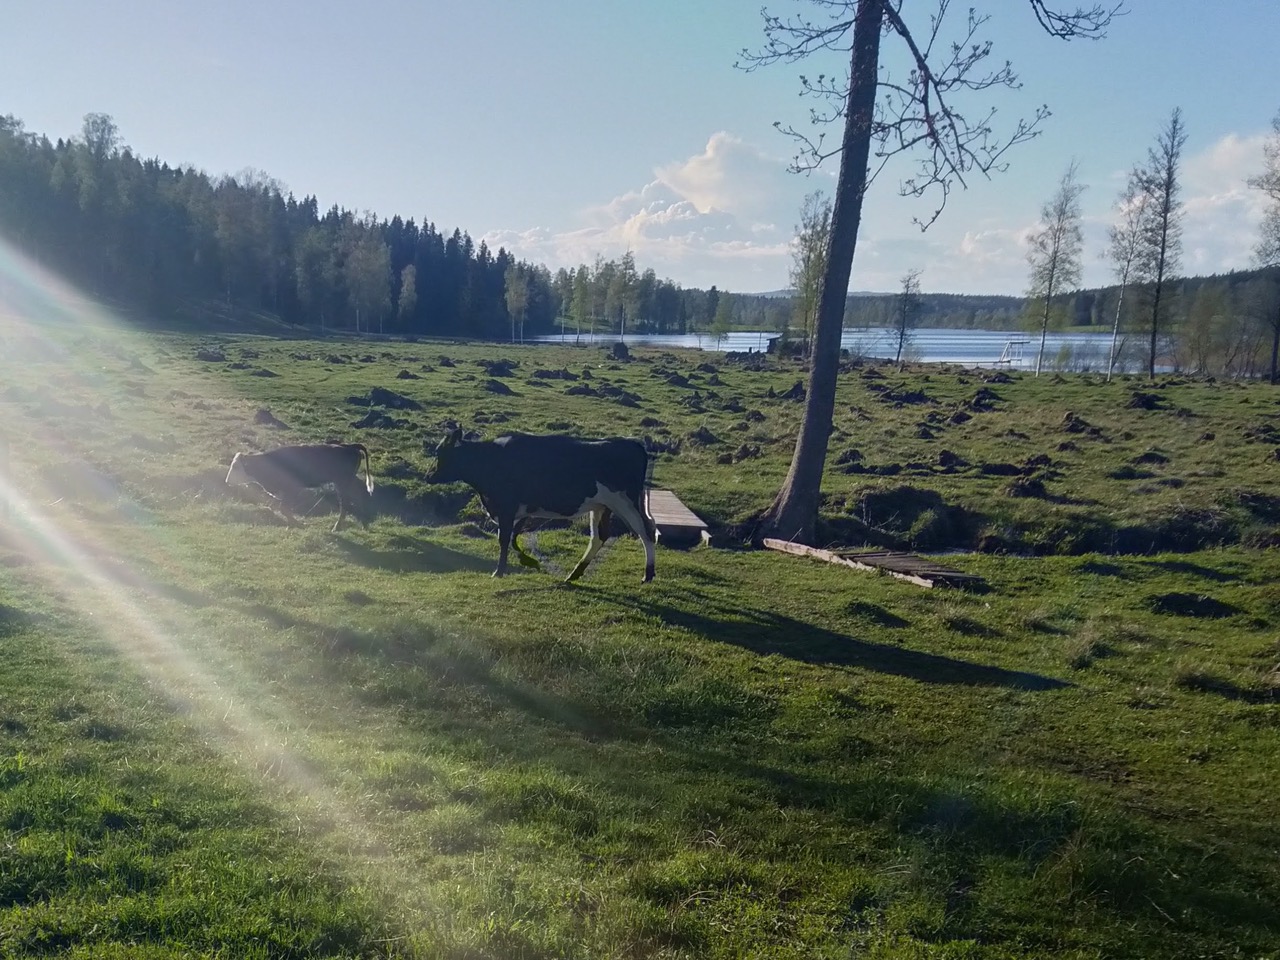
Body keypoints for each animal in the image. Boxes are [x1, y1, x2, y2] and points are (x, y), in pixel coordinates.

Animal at [225, 442, 373, 535]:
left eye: (236, 467)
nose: (227, 481)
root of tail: (349, 446)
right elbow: (282, 507)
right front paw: (293, 524)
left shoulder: (293, 488)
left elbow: (285, 508)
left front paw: (297, 524)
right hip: (347, 482)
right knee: (357, 496)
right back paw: (364, 524)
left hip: (342, 482)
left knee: (346, 503)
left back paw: (338, 527)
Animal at [430, 430, 655, 583]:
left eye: (440, 454)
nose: (428, 476)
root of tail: (632, 443)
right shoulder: (522, 508)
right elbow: (514, 535)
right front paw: (526, 559)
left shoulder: (506, 506)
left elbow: (504, 538)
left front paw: (499, 571)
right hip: (600, 505)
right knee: (599, 536)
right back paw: (575, 573)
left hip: (627, 502)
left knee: (647, 530)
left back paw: (648, 574)